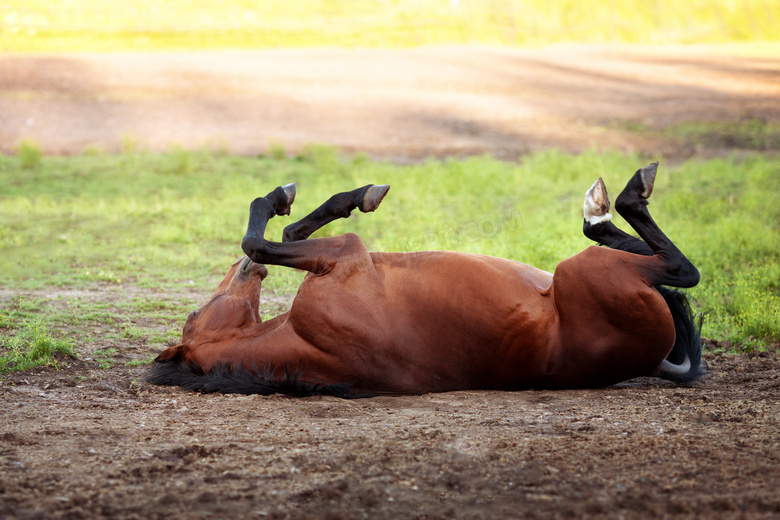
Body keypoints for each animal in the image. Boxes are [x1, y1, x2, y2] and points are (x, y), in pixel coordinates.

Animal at [149, 165, 704, 396]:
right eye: (194, 313)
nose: (240, 273)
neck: (307, 345)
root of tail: (652, 362)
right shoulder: (345, 254)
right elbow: (265, 237)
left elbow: (283, 230)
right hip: (585, 269)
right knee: (680, 269)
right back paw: (615, 201)